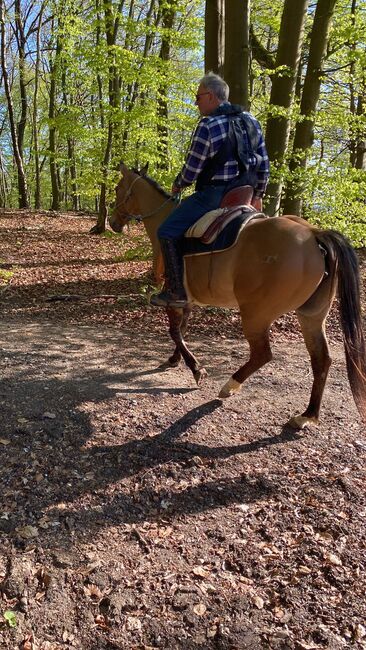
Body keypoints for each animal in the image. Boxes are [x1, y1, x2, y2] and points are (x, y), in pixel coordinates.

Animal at [109, 159, 366, 428]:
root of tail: (314, 234)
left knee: (263, 354)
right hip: (312, 316)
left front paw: (196, 368)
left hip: (256, 315)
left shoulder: (173, 296)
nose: (113, 222)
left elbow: (174, 331)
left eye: (117, 188)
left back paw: (230, 386)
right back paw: (307, 415)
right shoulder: (187, 299)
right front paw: (175, 360)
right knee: (321, 360)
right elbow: (181, 330)